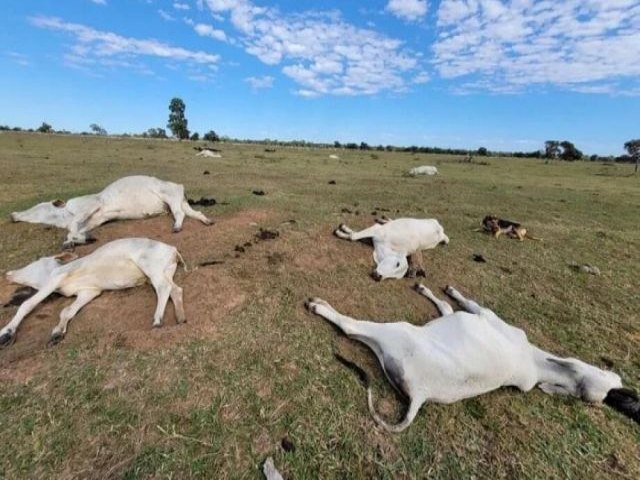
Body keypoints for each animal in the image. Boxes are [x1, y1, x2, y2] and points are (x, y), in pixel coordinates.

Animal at [1, 238, 188, 346]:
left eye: (37, 261)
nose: (8, 274)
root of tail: (172, 249)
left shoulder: (56, 278)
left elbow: (27, 304)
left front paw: (6, 333)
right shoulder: (89, 291)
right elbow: (67, 311)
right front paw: (57, 333)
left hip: (150, 266)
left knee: (163, 288)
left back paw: (157, 320)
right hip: (164, 271)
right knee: (175, 289)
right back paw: (180, 317)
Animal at [10, 177, 212, 251]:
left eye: (39, 207)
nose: (13, 215)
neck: (66, 214)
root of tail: (179, 186)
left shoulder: (92, 205)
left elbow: (73, 227)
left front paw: (73, 240)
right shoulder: (94, 220)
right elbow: (77, 231)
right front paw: (78, 240)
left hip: (170, 197)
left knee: (180, 214)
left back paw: (177, 227)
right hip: (179, 202)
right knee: (195, 213)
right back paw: (207, 220)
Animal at [306, 284, 640, 434]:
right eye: (610, 378)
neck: (536, 363)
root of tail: (421, 395)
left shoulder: (484, 314)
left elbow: (465, 303)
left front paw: (449, 289)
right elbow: (445, 307)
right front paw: (428, 288)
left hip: (396, 331)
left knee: (351, 327)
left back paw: (319, 305)